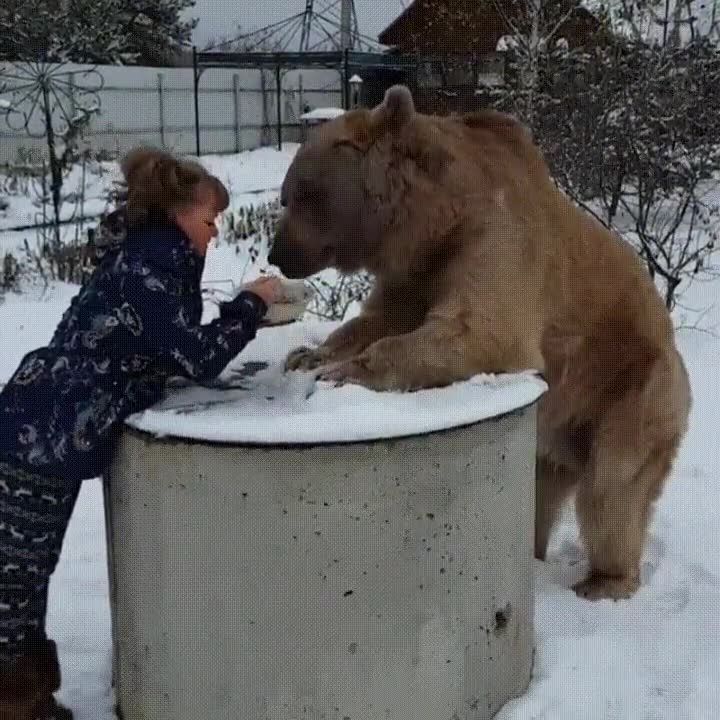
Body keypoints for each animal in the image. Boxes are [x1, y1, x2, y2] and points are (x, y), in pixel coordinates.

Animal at [267, 85, 692, 601]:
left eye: (303, 193)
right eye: (288, 193)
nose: (278, 253)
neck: (433, 221)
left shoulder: (494, 239)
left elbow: (481, 332)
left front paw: (338, 374)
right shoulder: (416, 272)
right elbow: (374, 322)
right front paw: (307, 355)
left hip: (630, 389)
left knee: (612, 488)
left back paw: (602, 582)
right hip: (556, 430)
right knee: (540, 490)